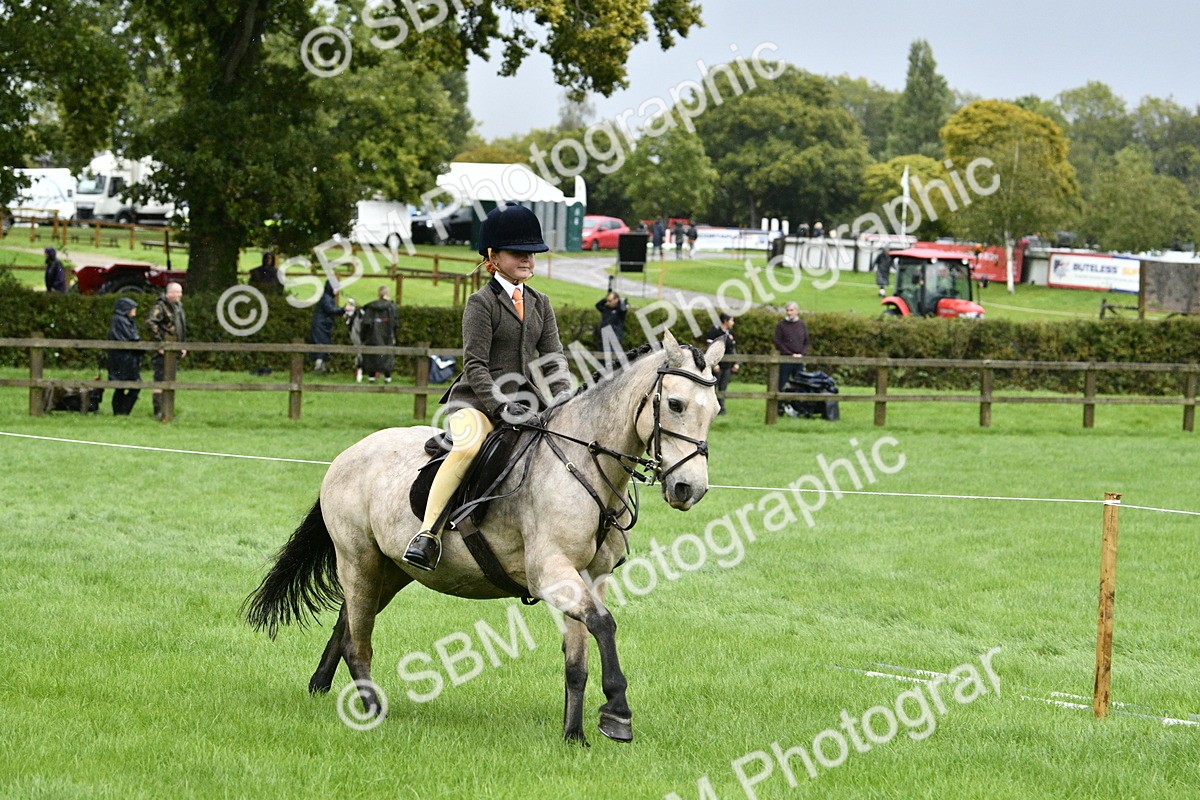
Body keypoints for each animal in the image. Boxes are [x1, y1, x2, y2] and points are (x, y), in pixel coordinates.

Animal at [244, 330, 725, 745]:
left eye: (715, 410)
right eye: (676, 404)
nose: (690, 489)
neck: (585, 465)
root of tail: (347, 454)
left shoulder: (590, 577)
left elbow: (578, 657)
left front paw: (574, 736)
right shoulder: (551, 573)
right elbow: (604, 625)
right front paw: (617, 715)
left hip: (391, 570)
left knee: (347, 623)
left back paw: (321, 686)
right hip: (358, 559)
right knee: (358, 641)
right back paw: (373, 711)